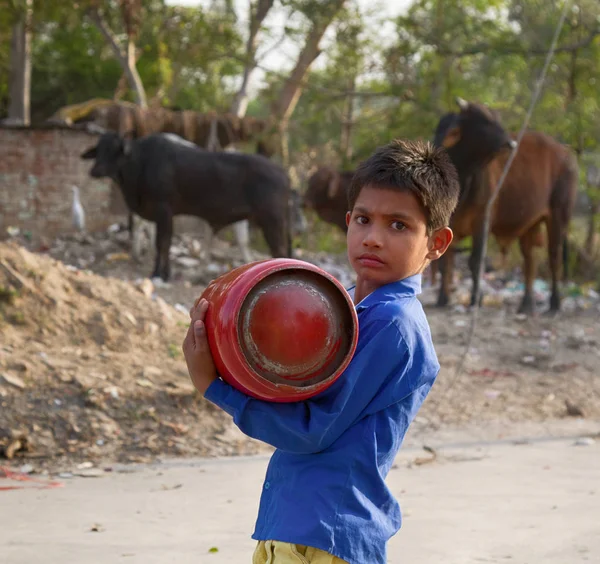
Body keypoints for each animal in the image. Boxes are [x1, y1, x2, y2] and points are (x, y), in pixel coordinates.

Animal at [81, 133, 292, 282]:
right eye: (98, 149)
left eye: (115, 149)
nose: (95, 170)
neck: (141, 163)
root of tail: (282, 173)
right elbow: (161, 243)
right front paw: (163, 272)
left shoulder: (164, 211)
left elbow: (162, 243)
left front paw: (159, 274)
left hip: (272, 222)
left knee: (279, 251)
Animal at [436, 97, 576, 312]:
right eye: (484, 120)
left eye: (496, 118)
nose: (511, 143)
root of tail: (565, 152)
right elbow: (444, 262)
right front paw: (443, 299)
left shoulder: (483, 219)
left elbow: (475, 261)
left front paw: (475, 299)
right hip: (530, 224)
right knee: (530, 260)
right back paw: (527, 303)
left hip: (559, 214)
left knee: (554, 256)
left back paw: (555, 303)